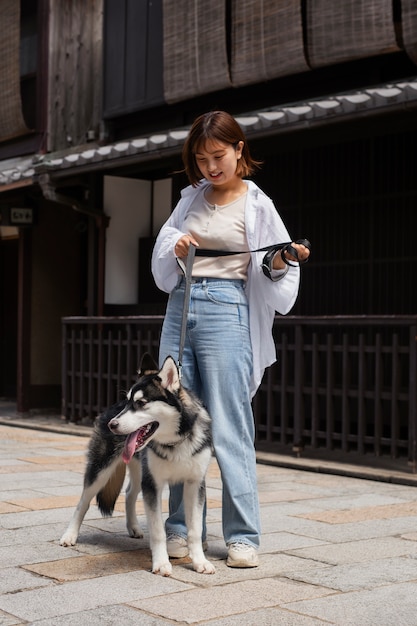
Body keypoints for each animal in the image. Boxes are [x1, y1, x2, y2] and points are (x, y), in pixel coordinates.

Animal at [59, 356, 214, 576]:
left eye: (141, 403)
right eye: (129, 402)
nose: (112, 425)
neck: (175, 442)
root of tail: (113, 406)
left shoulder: (195, 484)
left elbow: (195, 530)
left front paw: (200, 561)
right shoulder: (153, 484)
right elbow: (157, 531)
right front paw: (161, 563)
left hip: (140, 470)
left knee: (130, 492)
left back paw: (132, 527)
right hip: (101, 469)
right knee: (83, 501)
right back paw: (70, 535)